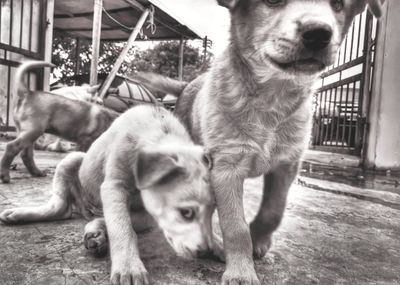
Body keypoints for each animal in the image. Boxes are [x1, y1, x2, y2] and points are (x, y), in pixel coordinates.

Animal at [0, 104, 219, 284]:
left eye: (212, 213)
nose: (205, 252)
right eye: (186, 213)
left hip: (144, 217)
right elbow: (122, 228)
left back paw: (96, 234)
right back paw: (19, 214)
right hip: (73, 159)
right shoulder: (114, 186)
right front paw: (129, 268)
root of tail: (84, 210)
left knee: (102, 219)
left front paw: (218, 242)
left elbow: (123, 225)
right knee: (60, 208)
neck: (157, 129)